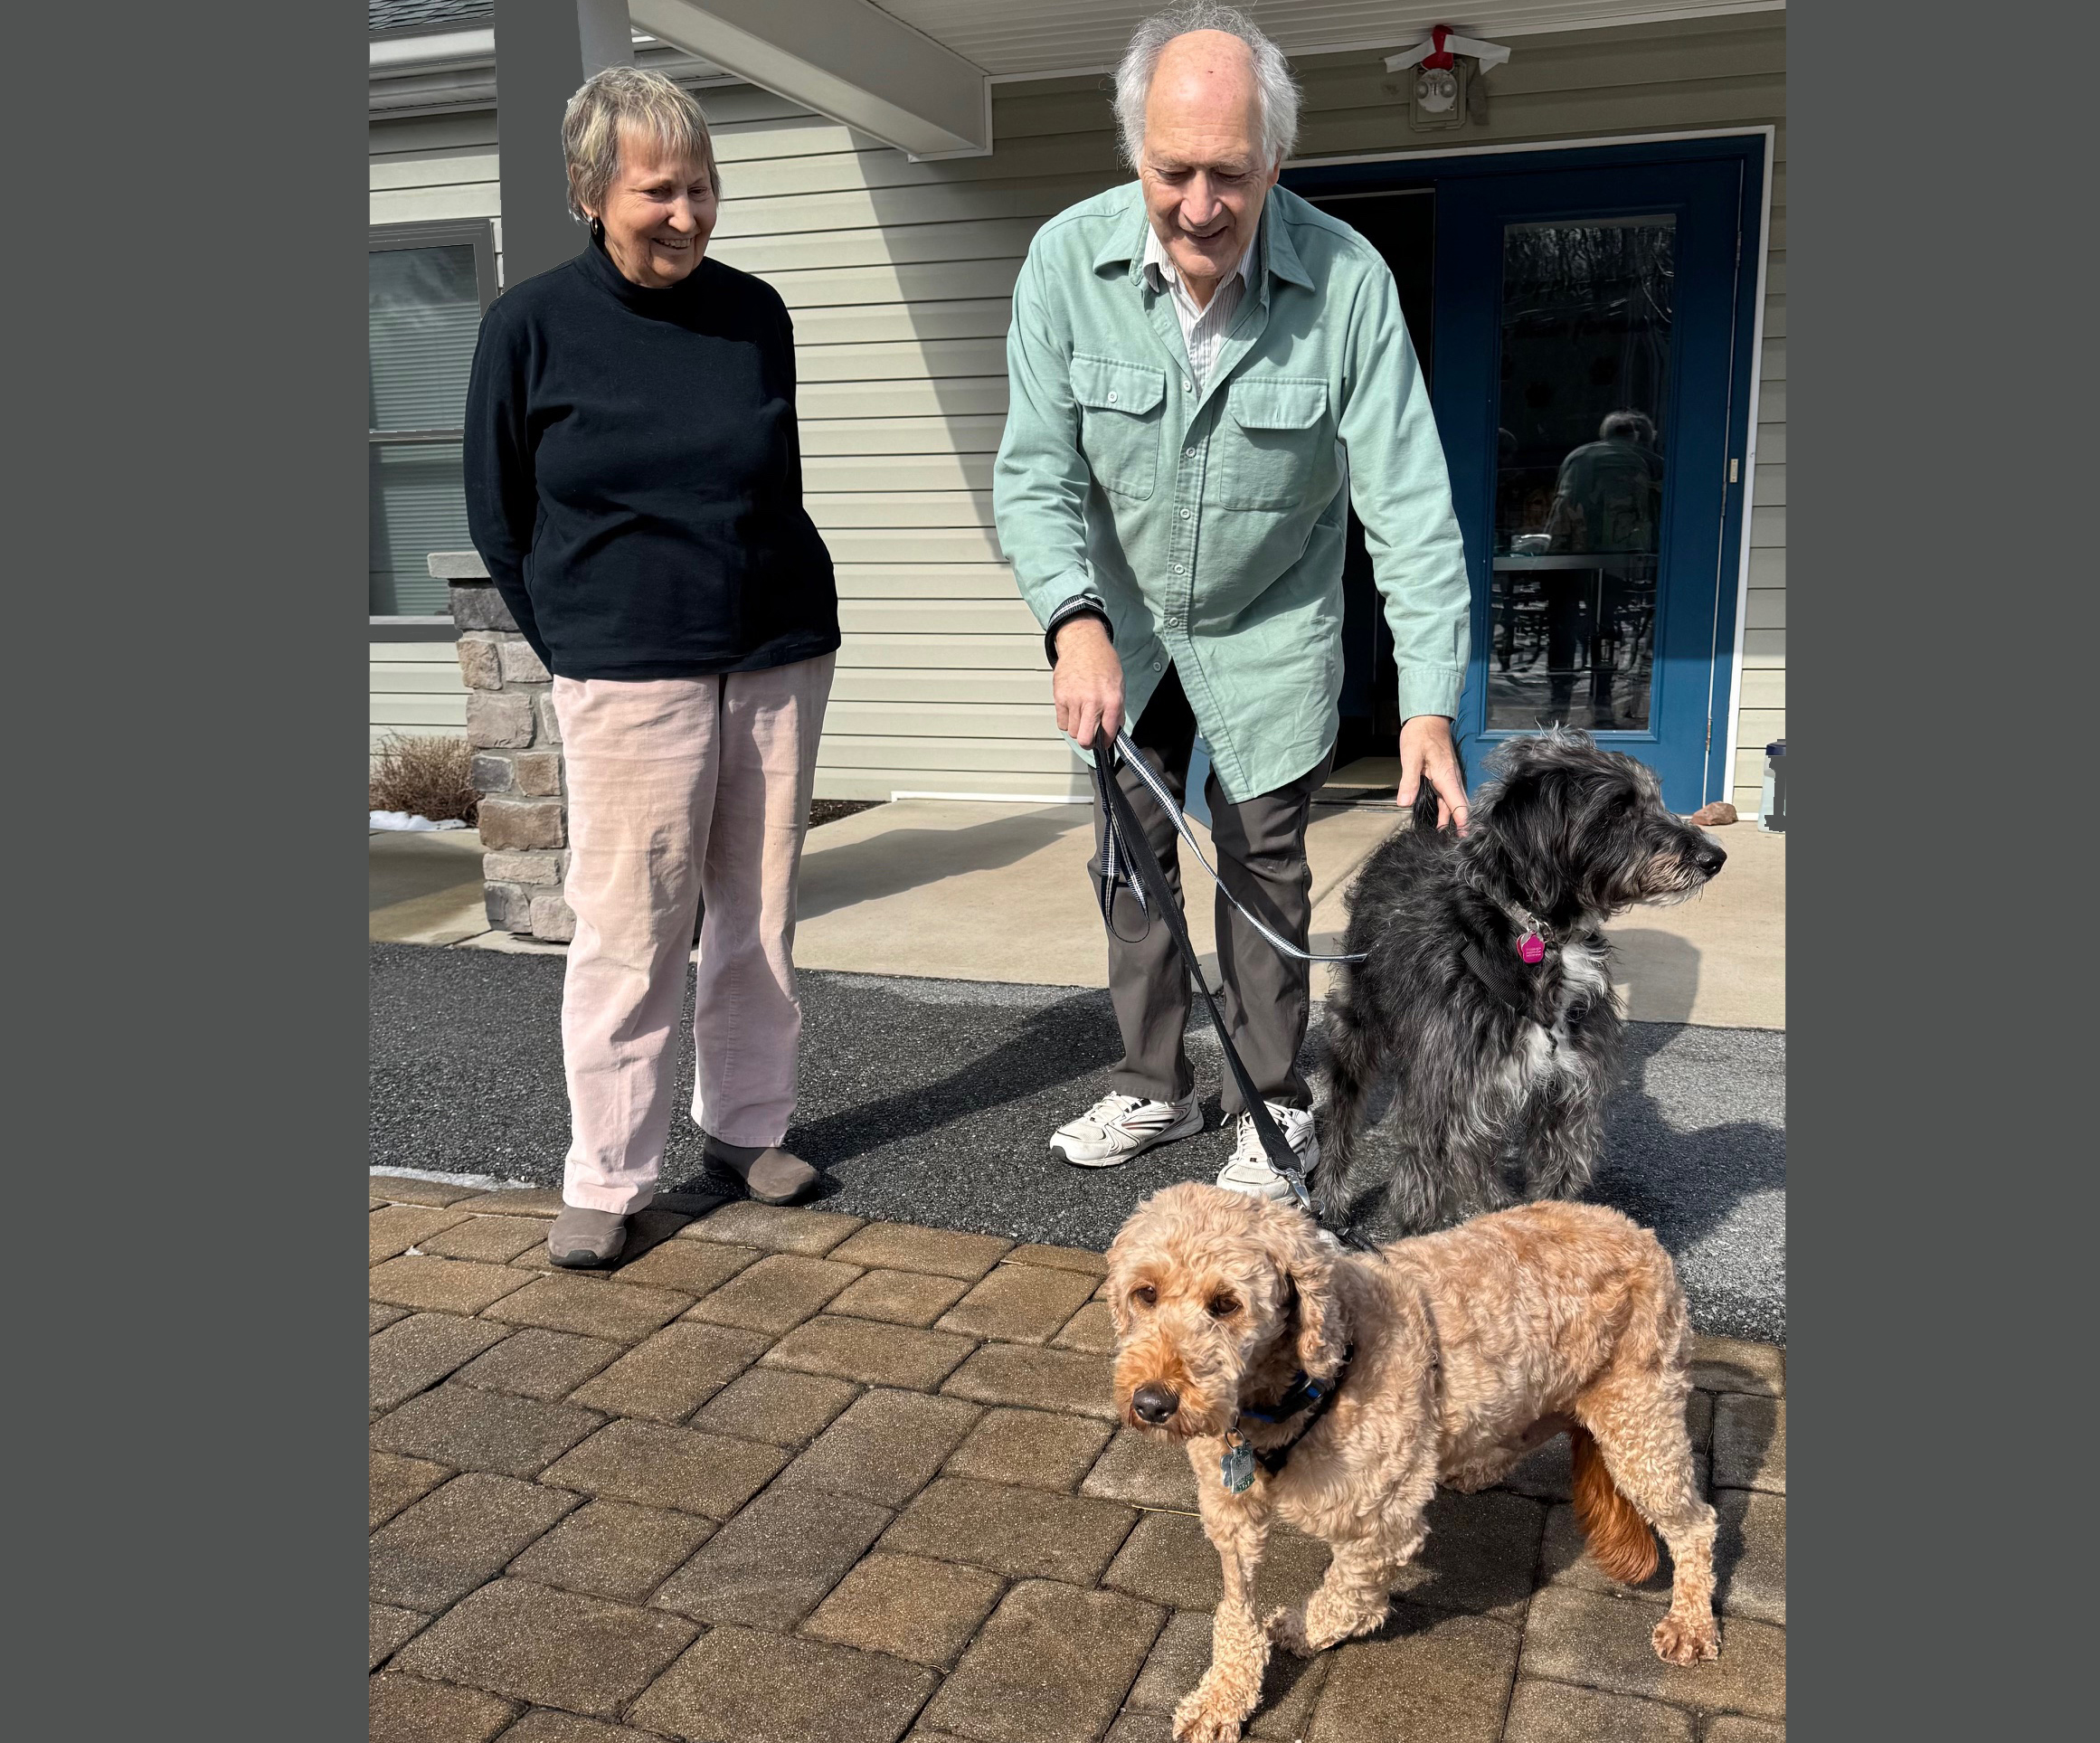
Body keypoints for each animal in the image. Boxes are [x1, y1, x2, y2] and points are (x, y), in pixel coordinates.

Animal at [1106, 1183, 1718, 1743]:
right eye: (1145, 1293)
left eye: (1226, 1304)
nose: (1152, 1404)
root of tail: (1639, 1232)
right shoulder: (1230, 1514)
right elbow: (1236, 1611)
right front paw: (1223, 1696)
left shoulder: (1380, 1524)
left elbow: (1346, 1601)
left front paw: (1301, 1631)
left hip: (1640, 1422)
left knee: (1696, 1525)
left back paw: (1690, 1620)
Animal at [1316, 729, 1726, 1232]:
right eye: (1616, 808)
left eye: (1655, 799)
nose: (1715, 857)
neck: (1538, 937)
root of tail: (1421, 831)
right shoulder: (1441, 1109)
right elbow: (1422, 1205)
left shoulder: (1566, 1106)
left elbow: (1554, 1187)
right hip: (1356, 1031)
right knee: (1341, 1119)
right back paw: (1329, 1198)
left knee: (1482, 1154)